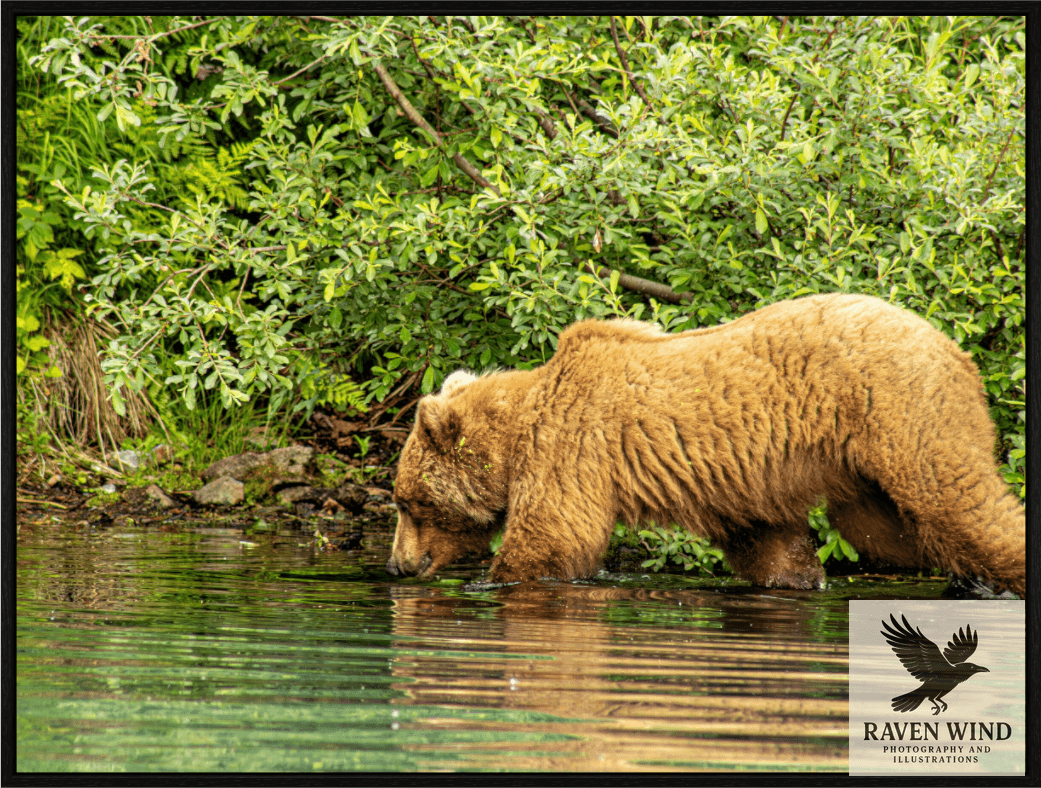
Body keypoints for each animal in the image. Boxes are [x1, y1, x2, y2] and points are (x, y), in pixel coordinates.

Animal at [385, 293, 1026, 597]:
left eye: (407, 502)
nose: (397, 564)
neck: (514, 439)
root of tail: (957, 350)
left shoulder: (572, 448)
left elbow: (552, 539)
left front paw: (490, 579)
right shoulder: (741, 489)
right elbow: (772, 547)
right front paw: (796, 577)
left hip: (904, 414)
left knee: (960, 505)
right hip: (863, 478)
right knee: (896, 535)